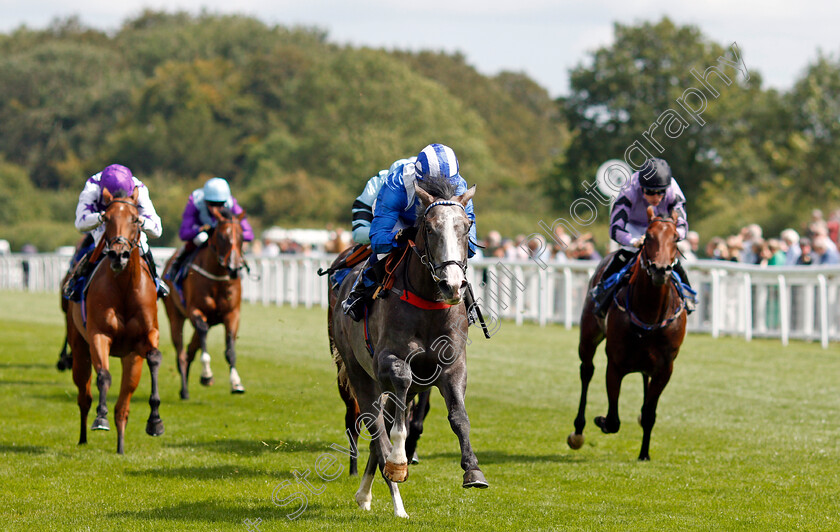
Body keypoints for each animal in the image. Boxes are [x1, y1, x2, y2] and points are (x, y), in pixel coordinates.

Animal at [67, 187, 164, 454]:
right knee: (84, 396)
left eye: (135, 219)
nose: (119, 255)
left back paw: (121, 447)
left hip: (131, 359)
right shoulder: (99, 335)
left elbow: (155, 357)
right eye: (107, 218)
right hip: (79, 347)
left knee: (123, 407)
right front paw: (101, 417)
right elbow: (103, 375)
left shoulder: (146, 336)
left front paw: (155, 420)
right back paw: (82, 437)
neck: (124, 288)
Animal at [162, 207, 244, 400]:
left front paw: (236, 382)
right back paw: (184, 390)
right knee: (181, 352)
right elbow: (201, 335)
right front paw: (207, 375)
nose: (234, 268)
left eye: (242, 236)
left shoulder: (232, 314)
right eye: (221, 236)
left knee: (191, 350)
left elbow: (230, 350)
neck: (218, 278)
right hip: (175, 315)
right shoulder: (196, 311)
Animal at [328, 177, 486, 516]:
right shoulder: (389, 360)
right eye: (429, 227)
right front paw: (399, 460)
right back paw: (392, 485)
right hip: (358, 371)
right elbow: (398, 395)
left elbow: (459, 415)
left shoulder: (452, 365)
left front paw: (473, 470)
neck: (428, 303)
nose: (452, 284)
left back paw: (368, 493)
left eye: (466, 226)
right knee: (375, 425)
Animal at [568, 208, 684, 462]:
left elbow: (649, 413)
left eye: (676, 238)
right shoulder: (615, 362)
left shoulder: (665, 368)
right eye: (648, 237)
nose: (660, 269)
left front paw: (644, 454)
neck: (649, 313)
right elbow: (613, 420)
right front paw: (600, 420)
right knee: (586, 371)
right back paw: (578, 432)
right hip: (588, 335)